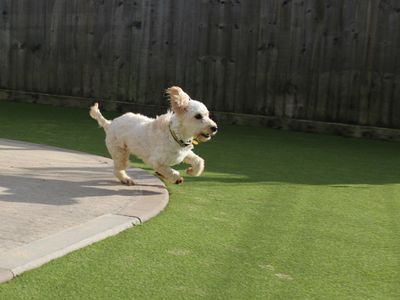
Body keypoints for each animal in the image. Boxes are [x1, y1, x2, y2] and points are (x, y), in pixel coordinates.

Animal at [89, 86, 217, 185]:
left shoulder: (184, 154)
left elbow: (199, 161)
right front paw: (176, 178)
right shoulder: (156, 161)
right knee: (117, 169)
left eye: (207, 115)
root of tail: (109, 124)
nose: (214, 128)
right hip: (120, 153)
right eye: (198, 116)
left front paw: (191, 171)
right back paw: (126, 179)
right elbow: (169, 170)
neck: (174, 134)